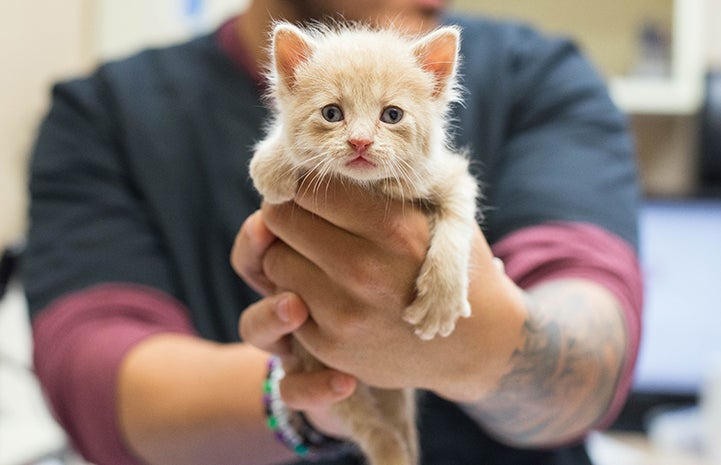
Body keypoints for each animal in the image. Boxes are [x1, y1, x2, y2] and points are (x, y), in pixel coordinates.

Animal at [248, 23, 478, 464]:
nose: (359, 143)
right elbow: (270, 160)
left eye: (392, 115)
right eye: (331, 113)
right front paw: (276, 165)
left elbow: (458, 221)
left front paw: (440, 297)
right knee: (372, 428)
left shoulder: (451, 176)